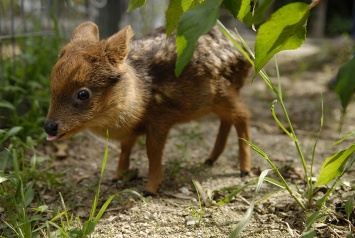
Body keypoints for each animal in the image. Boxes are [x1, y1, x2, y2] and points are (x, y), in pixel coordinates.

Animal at [43, 21, 253, 196]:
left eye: (83, 94)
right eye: (52, 85)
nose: (49, 126)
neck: (140, 95)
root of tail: (245, 53)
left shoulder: (160, 118)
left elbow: (152, 152)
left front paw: (150, 189)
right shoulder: (131, 131)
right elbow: (125, 148)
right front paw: (117, 175)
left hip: (225, 92)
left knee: (243, 116)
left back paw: (244, 170)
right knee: (228, 119)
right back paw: (211, 159)